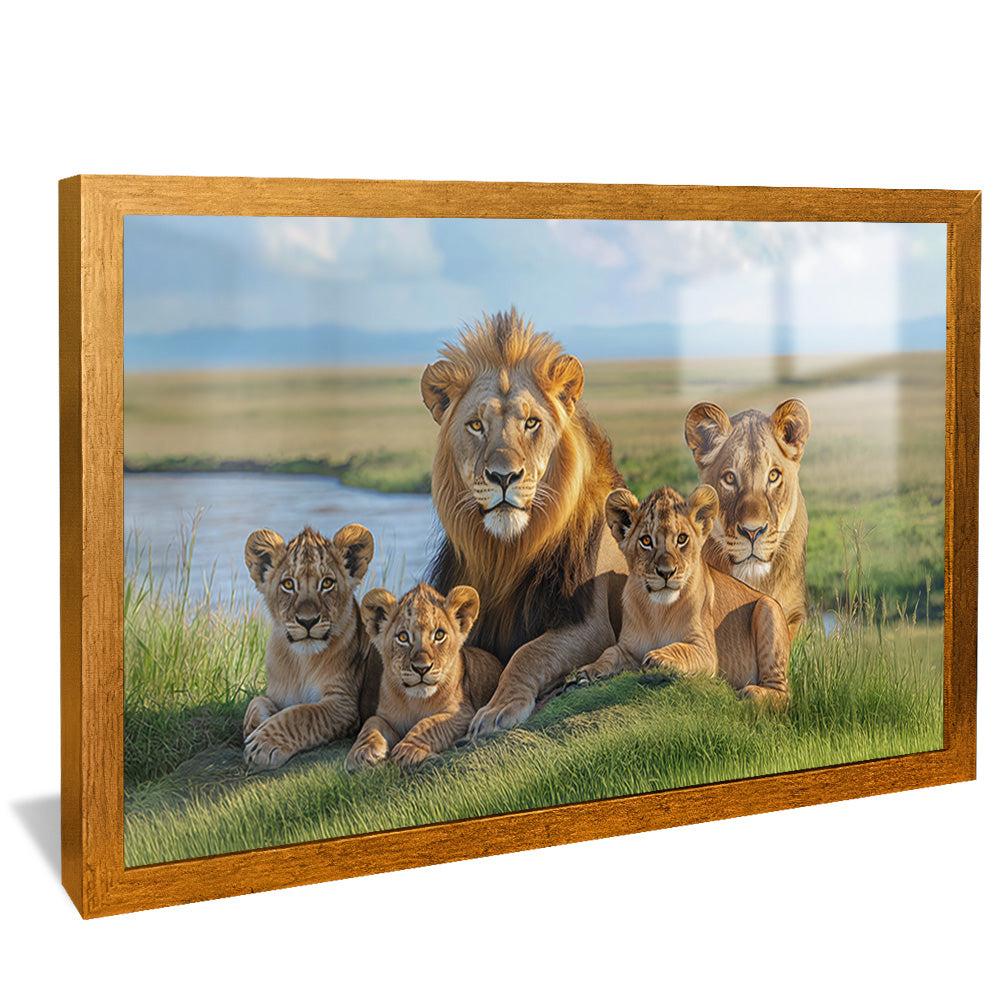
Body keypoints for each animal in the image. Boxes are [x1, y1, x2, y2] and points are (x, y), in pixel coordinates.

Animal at [242, 524, 382, 771]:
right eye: (288, 584)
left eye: (326, 583)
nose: (307, 621)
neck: (301, 662)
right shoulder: (277, 693)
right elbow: (256, 701)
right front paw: (254, 724)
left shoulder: (344, 705)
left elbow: (303, 714)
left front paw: (262, 744)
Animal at [345, 583, 504, 769]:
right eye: (403, 637)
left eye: (439, 635)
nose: (422, 668)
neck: (416, 702)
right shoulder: (387, 717)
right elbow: (371, 723)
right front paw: (362, 752)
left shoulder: (464, 714)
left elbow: (430, 724)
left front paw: (408, 749)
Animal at [420, 308, 627, 738]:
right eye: (476, 425)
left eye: (531, 423)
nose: (504, 476)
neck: (507, 554)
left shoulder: (590, 623)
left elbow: (529, 653)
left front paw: (498, 708)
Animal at [576, 485, 790, 704]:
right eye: (646, 541)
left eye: (681, 539)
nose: (666, 572)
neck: (658, 611)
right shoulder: (628, 648)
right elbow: (609, 652)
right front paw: (587, 672)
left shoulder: (706, 651)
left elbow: (681, 648)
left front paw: (659, 658)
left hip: (769, 608)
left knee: (783, 693)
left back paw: (751, 692)